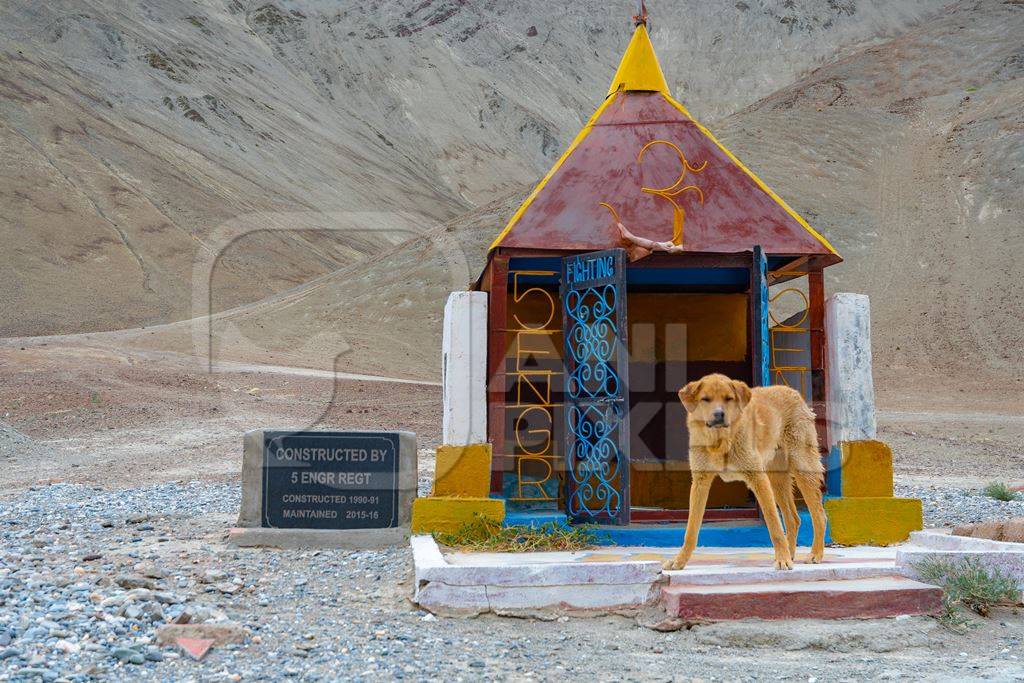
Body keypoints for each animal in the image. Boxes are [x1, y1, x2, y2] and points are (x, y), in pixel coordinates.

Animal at [659, 374, 827, 573]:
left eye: (728, 398)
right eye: (705, 399)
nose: (719, 414)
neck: (720, 440)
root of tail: (792, 391)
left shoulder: (758, 478)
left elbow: (773, 524)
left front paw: (783, 560)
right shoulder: (700, 482)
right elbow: (691, 530)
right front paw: (679, 561)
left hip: (802, 467)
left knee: (819, 515)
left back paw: (814, 554)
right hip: (776, 479)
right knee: (793, 519)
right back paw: (791, 553)